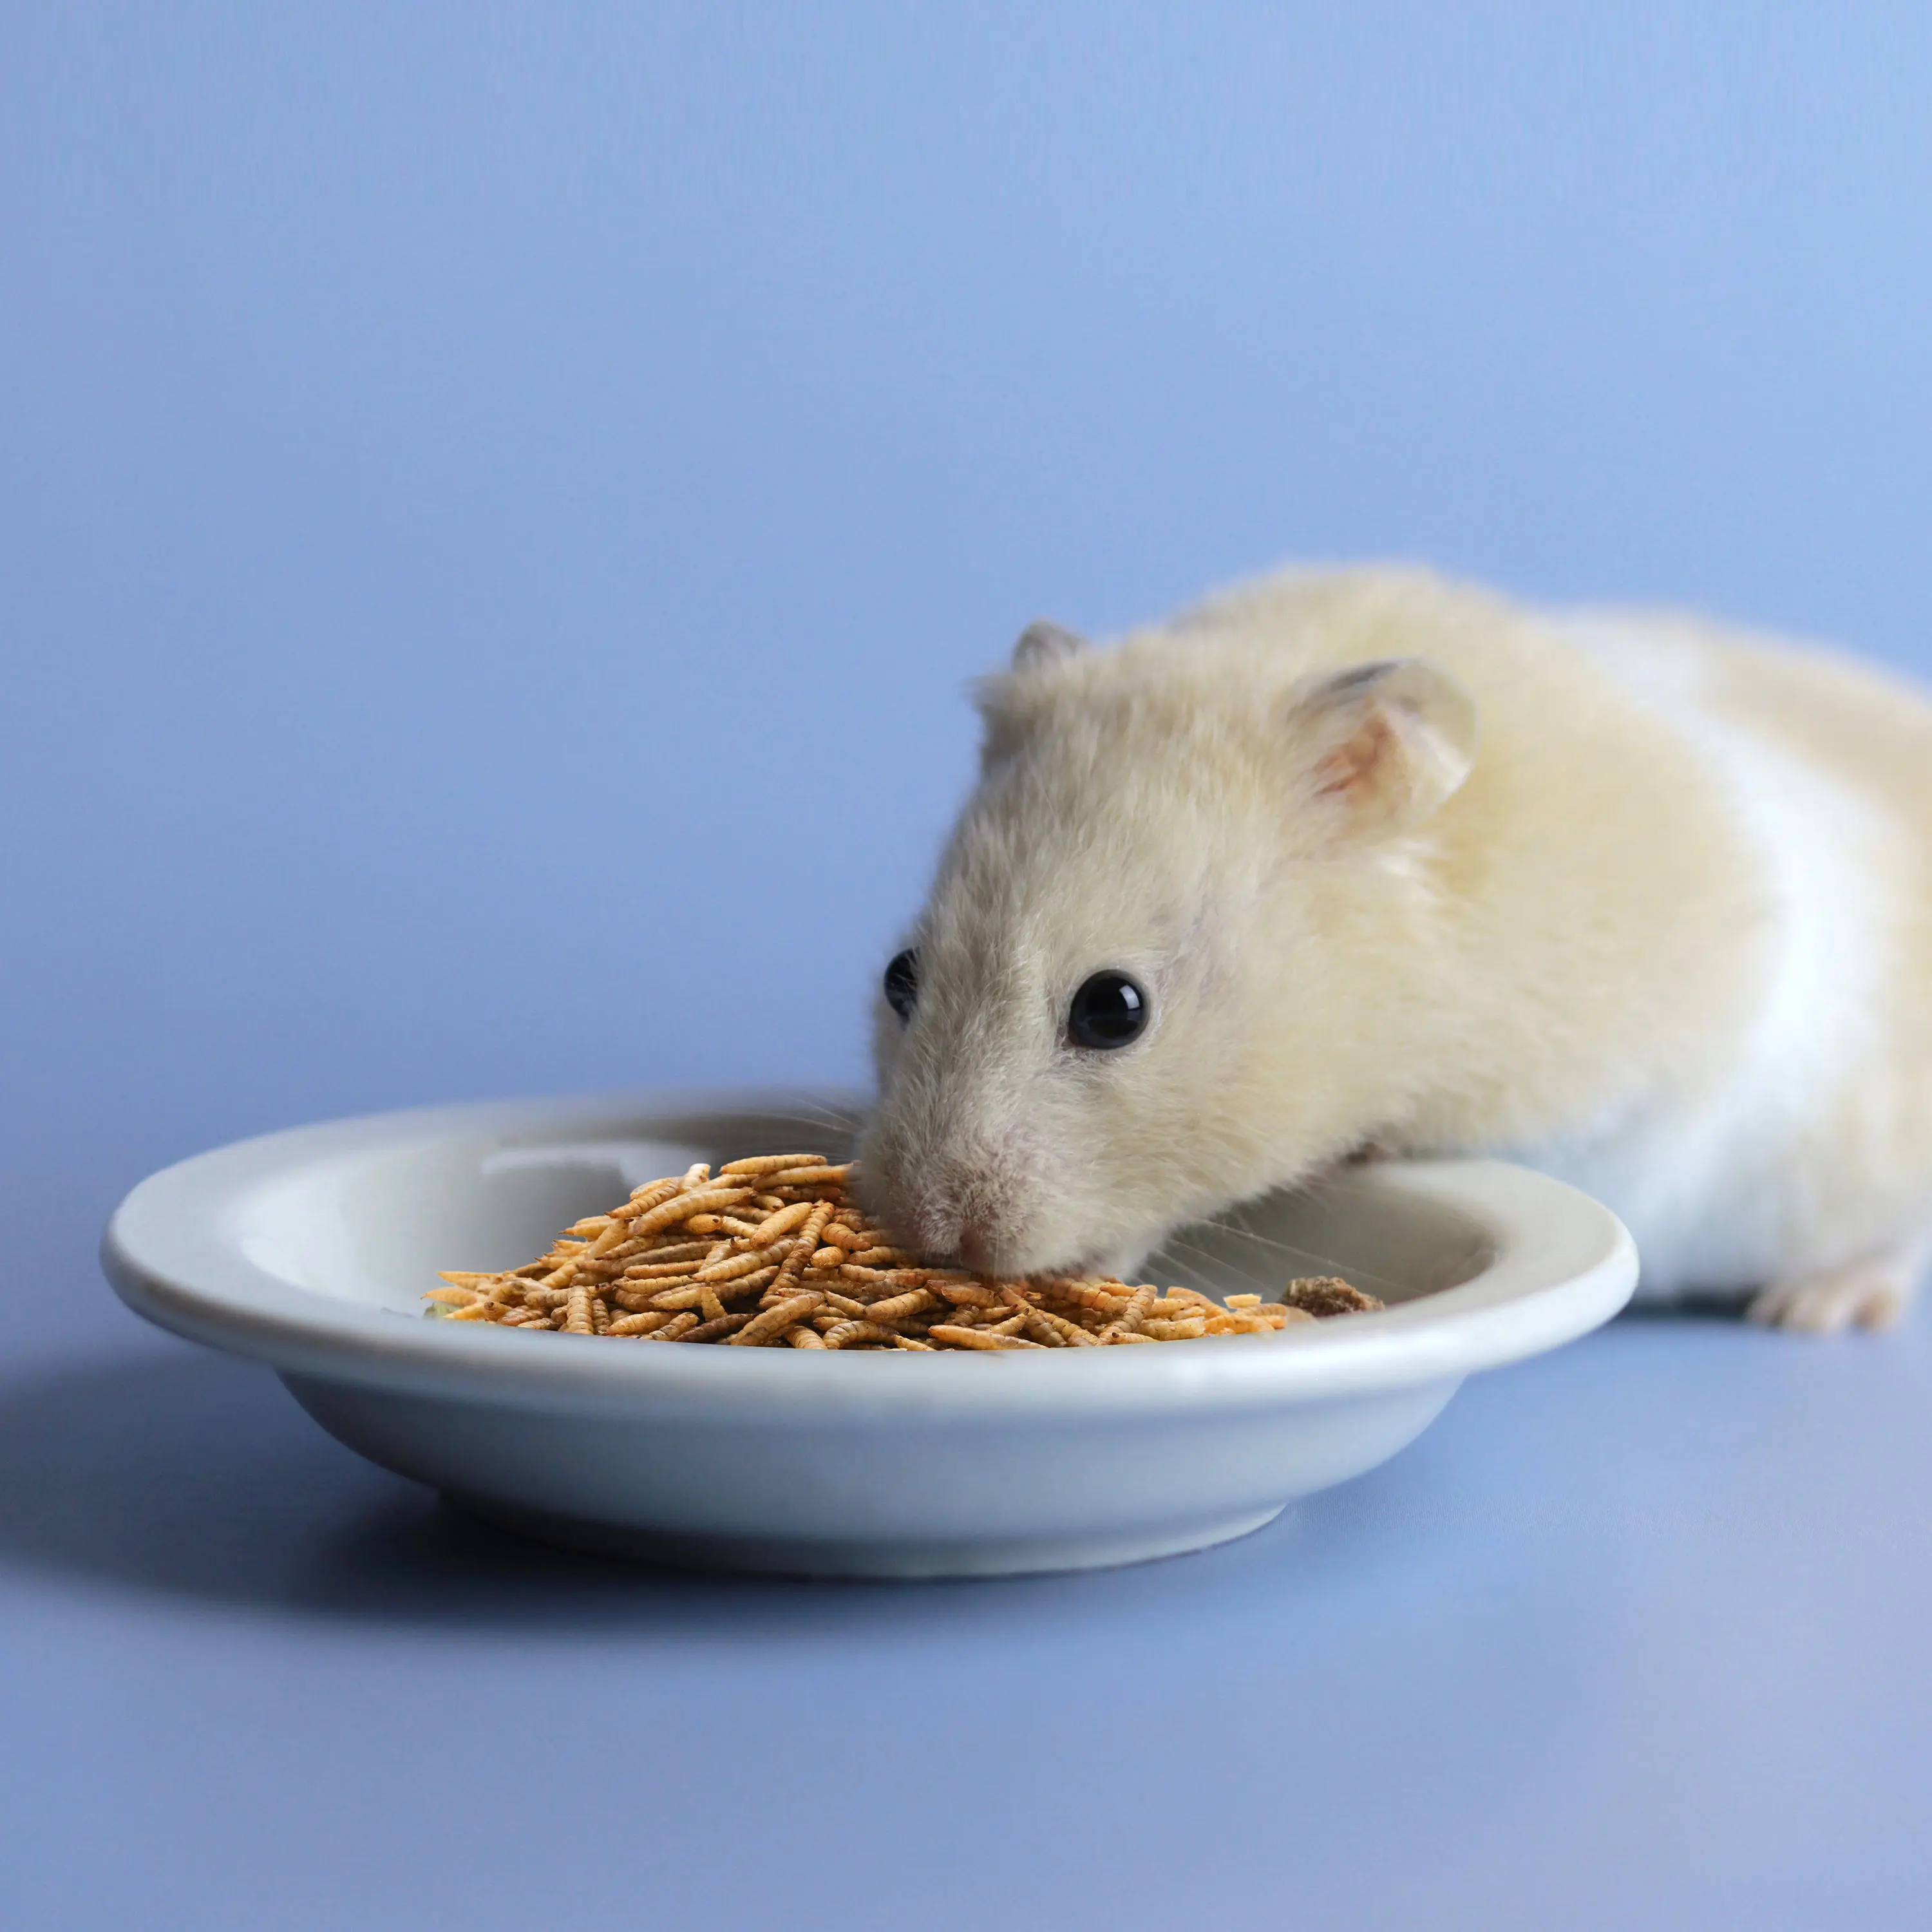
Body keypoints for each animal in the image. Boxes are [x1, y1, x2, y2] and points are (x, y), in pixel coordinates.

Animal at [862, 564, 1932, 1329]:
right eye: (900, 976)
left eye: (1113, 1009)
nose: (924, 1228)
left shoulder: (1619, 1086)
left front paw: (1359, 1152)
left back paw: (1816, 1309)